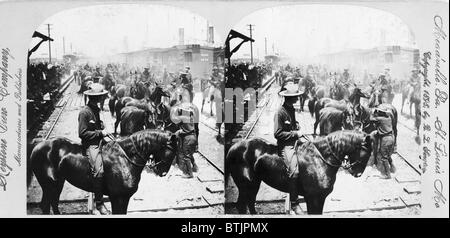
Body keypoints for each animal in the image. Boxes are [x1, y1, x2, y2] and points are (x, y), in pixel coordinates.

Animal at [27, 129, 179, 215]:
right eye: (172, 150)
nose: (162, 172)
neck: (125, 157)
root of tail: (38, 146)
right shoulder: (118, 198)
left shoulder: (124, 198)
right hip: (49, 184)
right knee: (46, 205)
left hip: (58, 183)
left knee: (53, 202)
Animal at [227, 131, 374, 215]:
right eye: (366, 151)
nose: (357, 173)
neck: (320, 159)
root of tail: (233, 148)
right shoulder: (312, 198)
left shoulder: (320, 198)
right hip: (246, 185)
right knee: (242, 205)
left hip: (254, 184)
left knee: (250, 203)